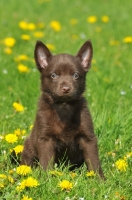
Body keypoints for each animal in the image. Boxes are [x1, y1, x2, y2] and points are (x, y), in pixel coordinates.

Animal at [20, 39, 105, 179]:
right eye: (54, 75)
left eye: (75, 75)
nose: (66, 88)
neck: (64, 107)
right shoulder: (46, 139)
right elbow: (46, 162)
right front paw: (46, 179)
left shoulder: (88, 138)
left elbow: (94, 161)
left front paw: (100, 180)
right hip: (29, 150)